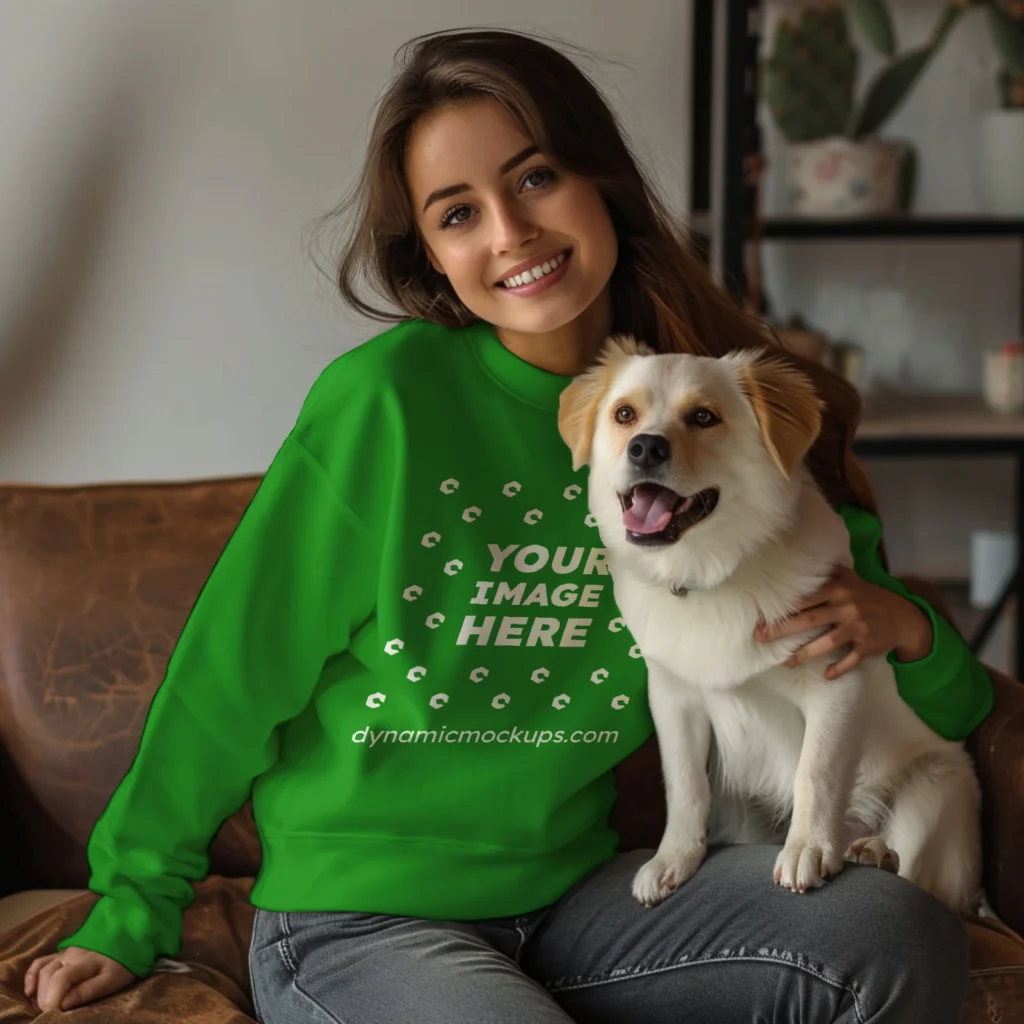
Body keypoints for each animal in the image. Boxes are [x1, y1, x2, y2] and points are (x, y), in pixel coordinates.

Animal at [561, 335, 983, 913]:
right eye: (625, 414)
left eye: (704, 417)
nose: (645, 448)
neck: (711, 574)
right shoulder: (674, 699)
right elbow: (685, 785)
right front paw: (674, 858)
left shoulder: (835, 682)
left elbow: (816, 774)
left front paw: (809, 848)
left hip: (935, 788)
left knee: (921, 874)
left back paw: (872, 852)